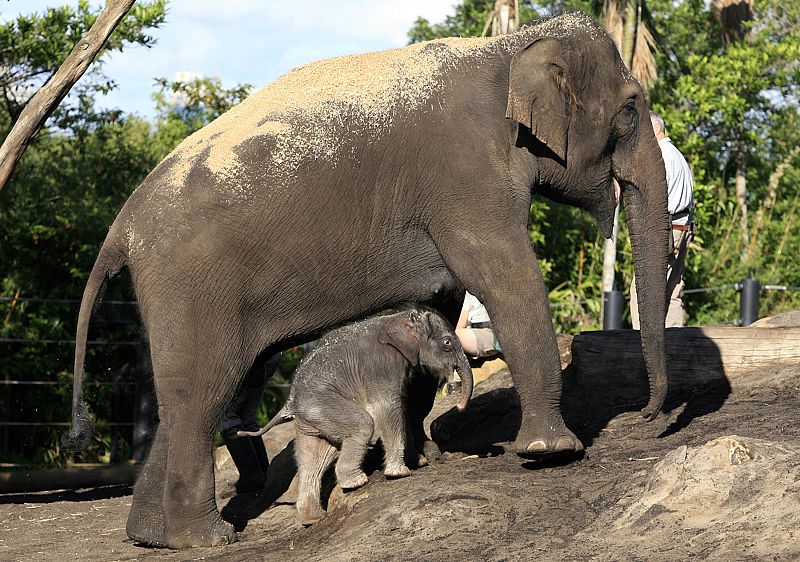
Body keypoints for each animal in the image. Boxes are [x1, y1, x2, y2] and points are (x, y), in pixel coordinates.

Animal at [241, 306, 472, 520]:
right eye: (447, 343)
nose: (459, 406)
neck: (396, 318)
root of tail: (290, 400)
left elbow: (402, 407)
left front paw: (419, 462)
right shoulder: (379, 367)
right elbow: (387, 407)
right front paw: (400, 473)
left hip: (311, 417)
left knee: (315, 456)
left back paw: (313, 519)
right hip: (324, 404)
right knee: (362, 425)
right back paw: (355, 482)